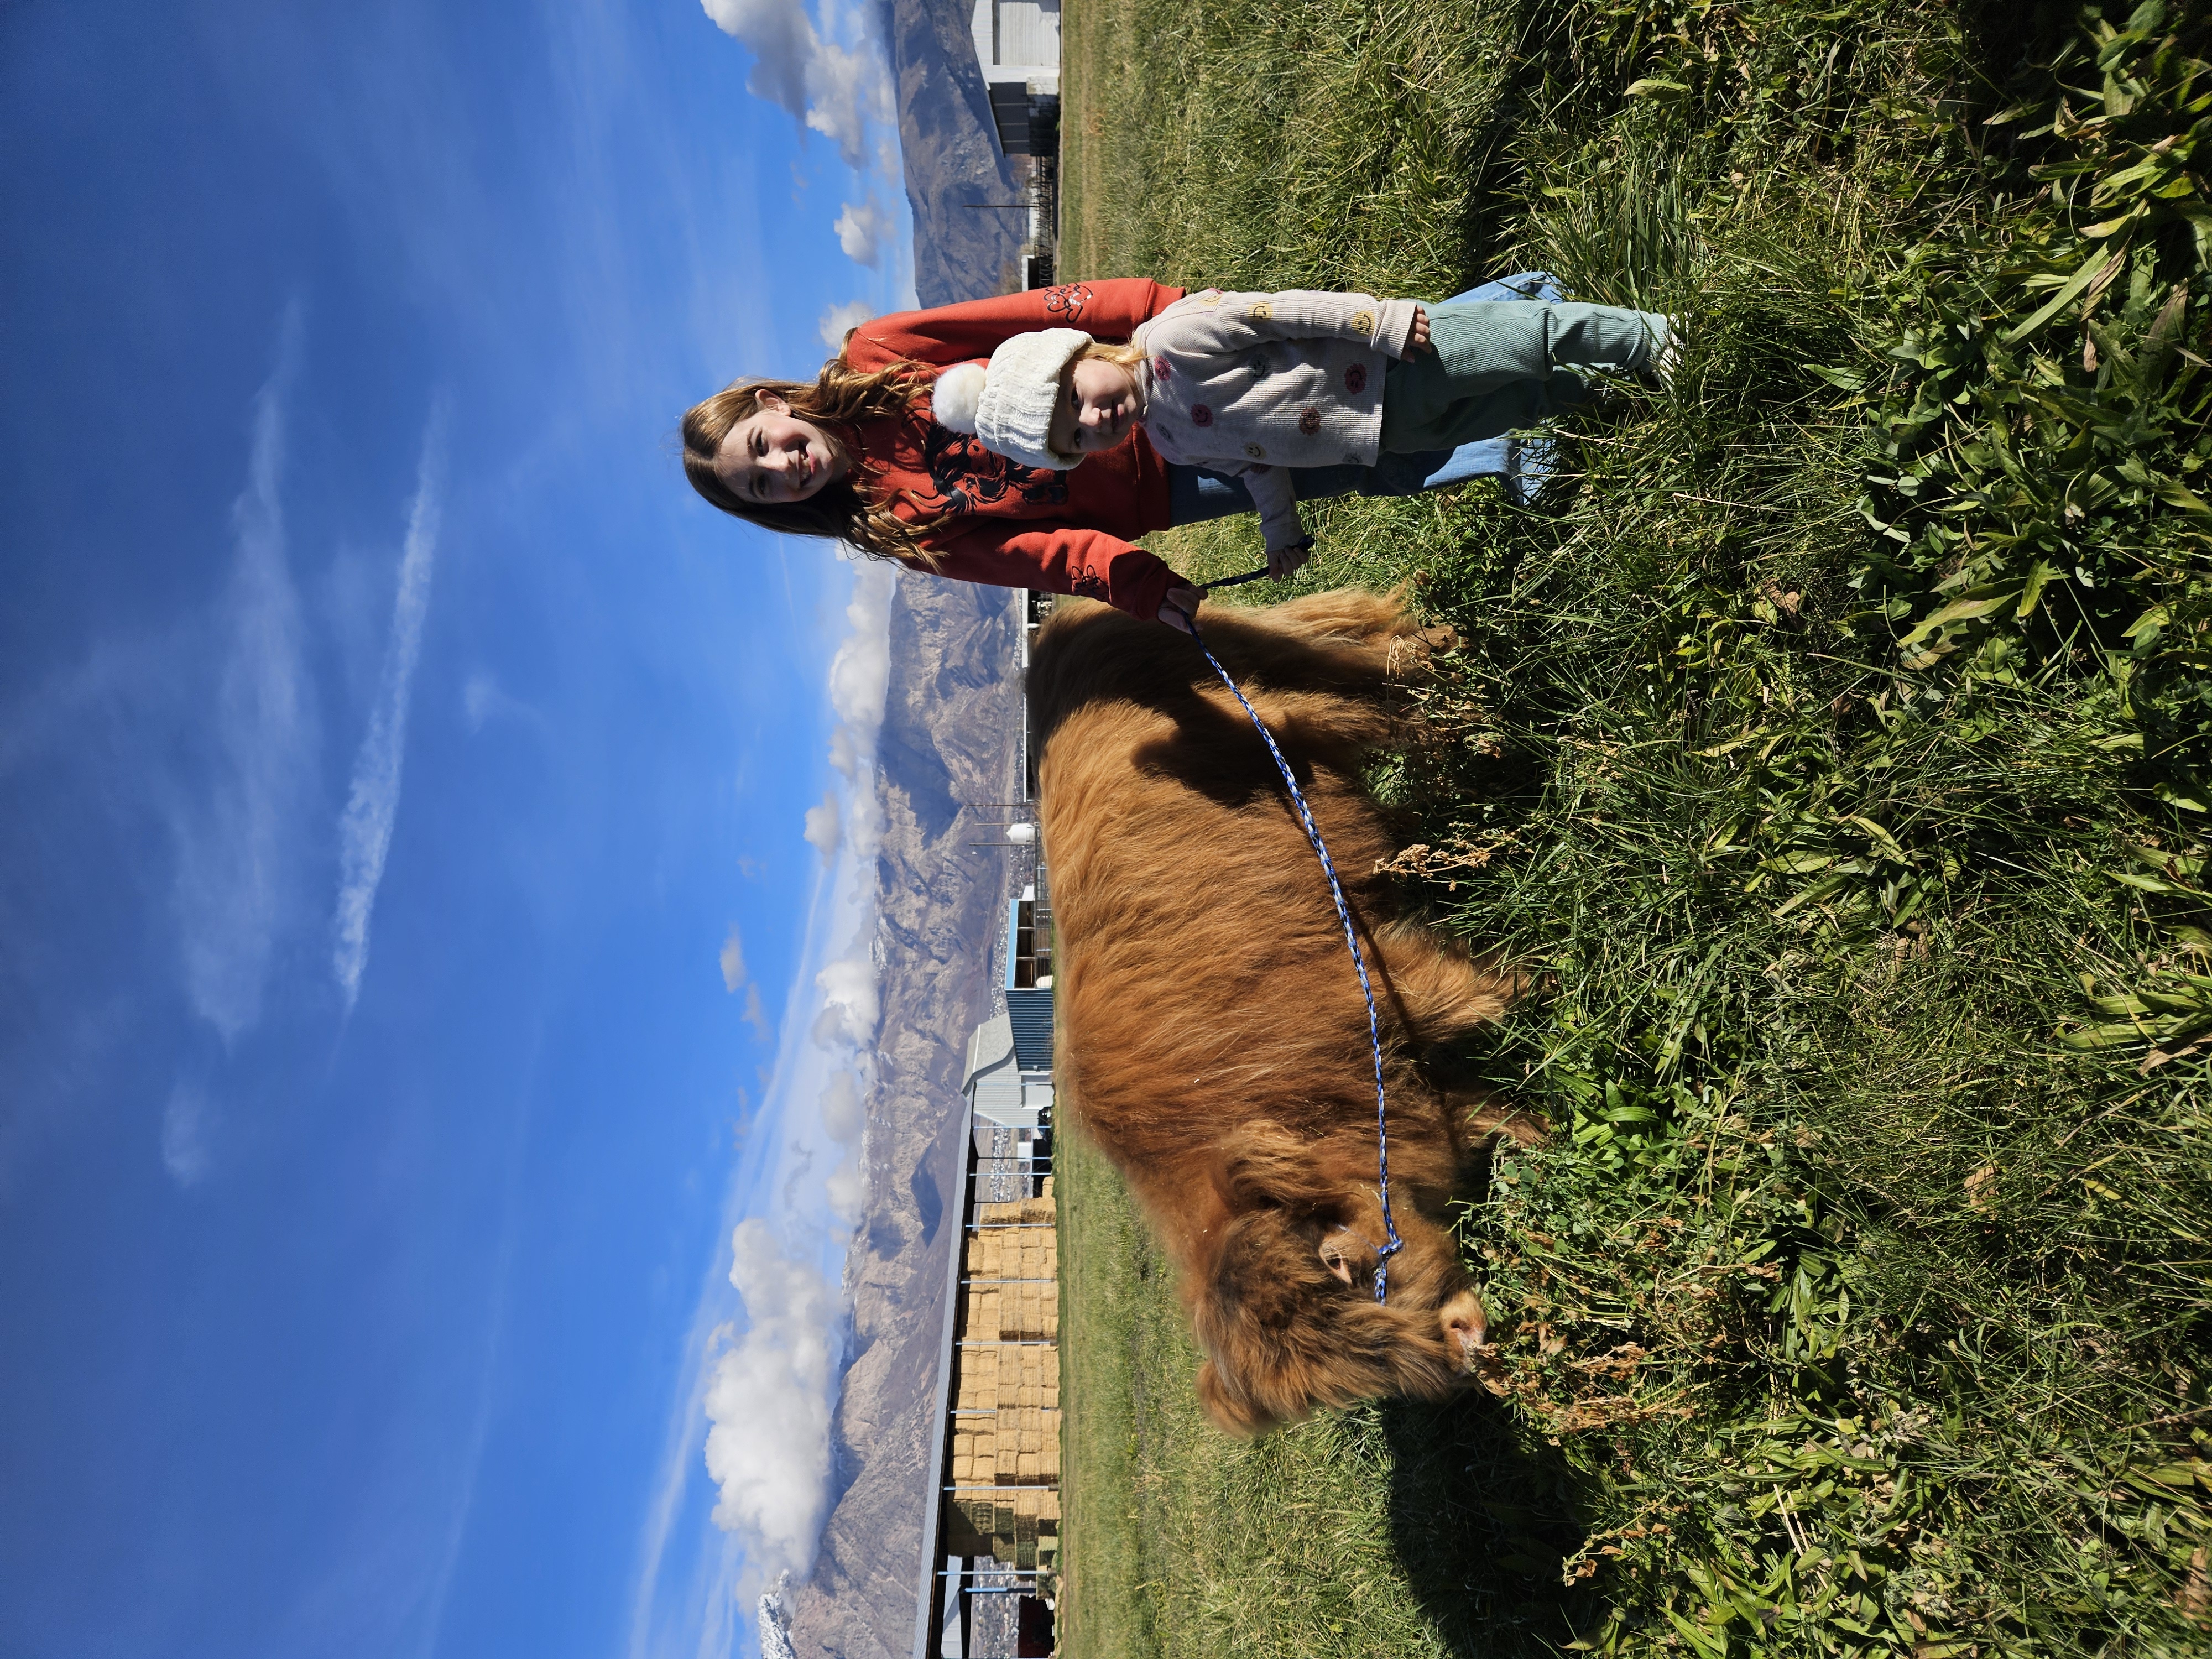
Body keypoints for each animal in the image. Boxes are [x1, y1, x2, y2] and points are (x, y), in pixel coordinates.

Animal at [1026, 587, 1539, 1436]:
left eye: (1337, 1262)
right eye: (1357, 1379)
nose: (1465, 1348)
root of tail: (1059, 629)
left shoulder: (1390, 983)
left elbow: (1498, 993)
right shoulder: (1405, 1091)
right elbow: (1488, 1110)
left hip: (1282, 688)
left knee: (1379, 671)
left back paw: (1475, 707)